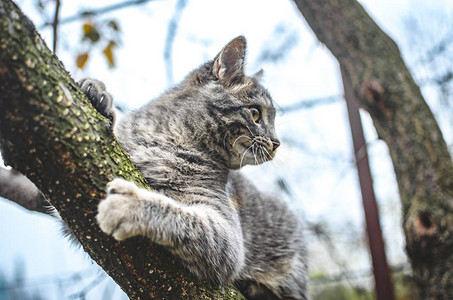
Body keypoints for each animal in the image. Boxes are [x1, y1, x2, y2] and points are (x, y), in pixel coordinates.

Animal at [80, 35, 308, 300]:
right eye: (255, 114)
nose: (276, 142)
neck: (168, 139)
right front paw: (97, 96)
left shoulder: (228, 239)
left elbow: (185, 218)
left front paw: (131, 203)